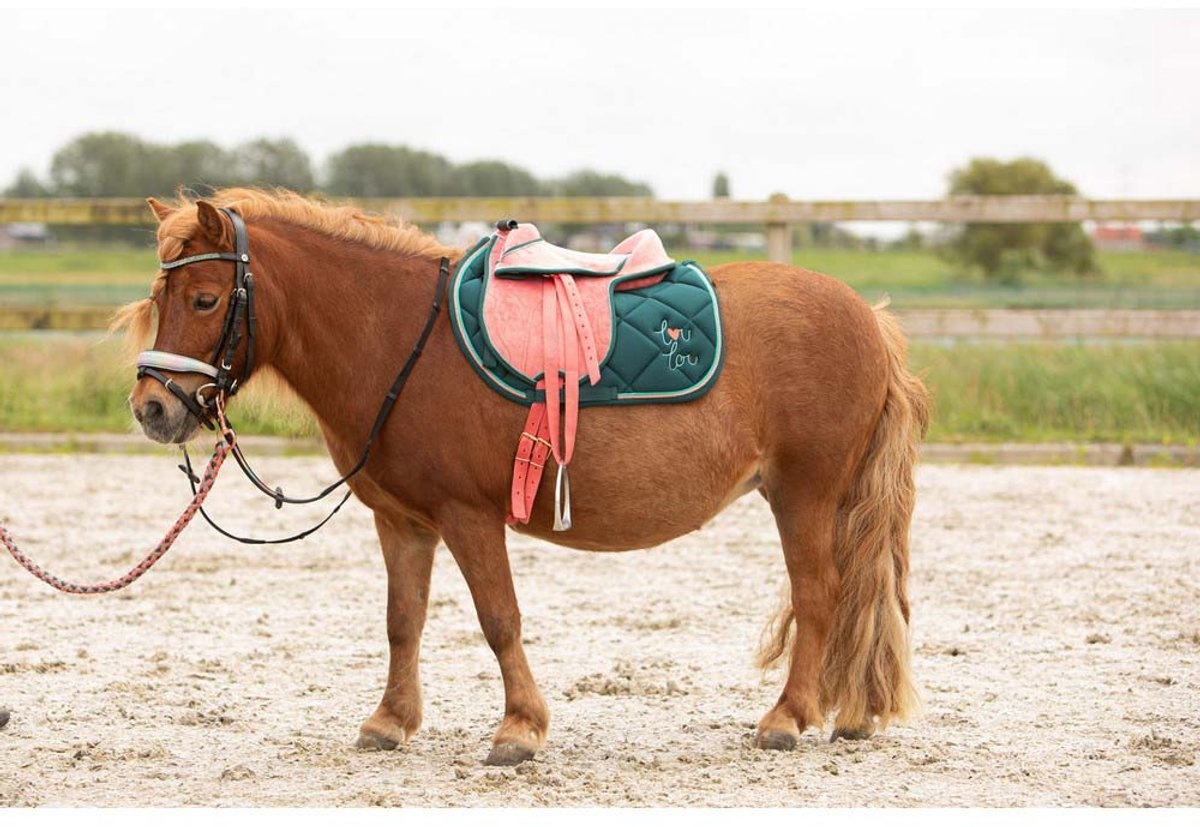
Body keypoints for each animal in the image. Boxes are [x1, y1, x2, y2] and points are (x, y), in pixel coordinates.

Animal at [119, 188, 929, 766]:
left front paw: (518, 729)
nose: (153, 408)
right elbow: (403, 621)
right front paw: (390, 720)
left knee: (820, 595)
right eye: (157, 301)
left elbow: (498, 618)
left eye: (205, 299)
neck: (399, 337)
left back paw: (787, 718)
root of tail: (870, 318)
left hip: (806, 493)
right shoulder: (402, 521)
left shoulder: (469, 516)